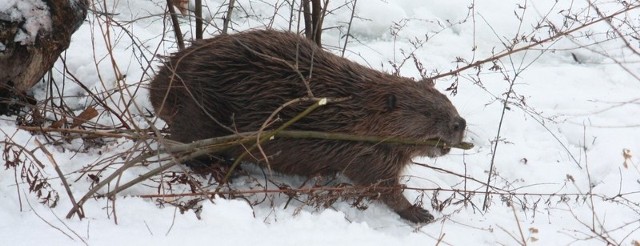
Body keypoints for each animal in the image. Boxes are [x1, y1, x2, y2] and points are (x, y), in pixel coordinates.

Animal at [151, 29, 470, 224]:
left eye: (447, 101)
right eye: (427, 112)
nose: (461, 123)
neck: (358, 111)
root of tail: (159, 86)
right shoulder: (369, 154)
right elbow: (381, 187)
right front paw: (419, 213)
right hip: (201, 116)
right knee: (180, 147)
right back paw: (225, 169)